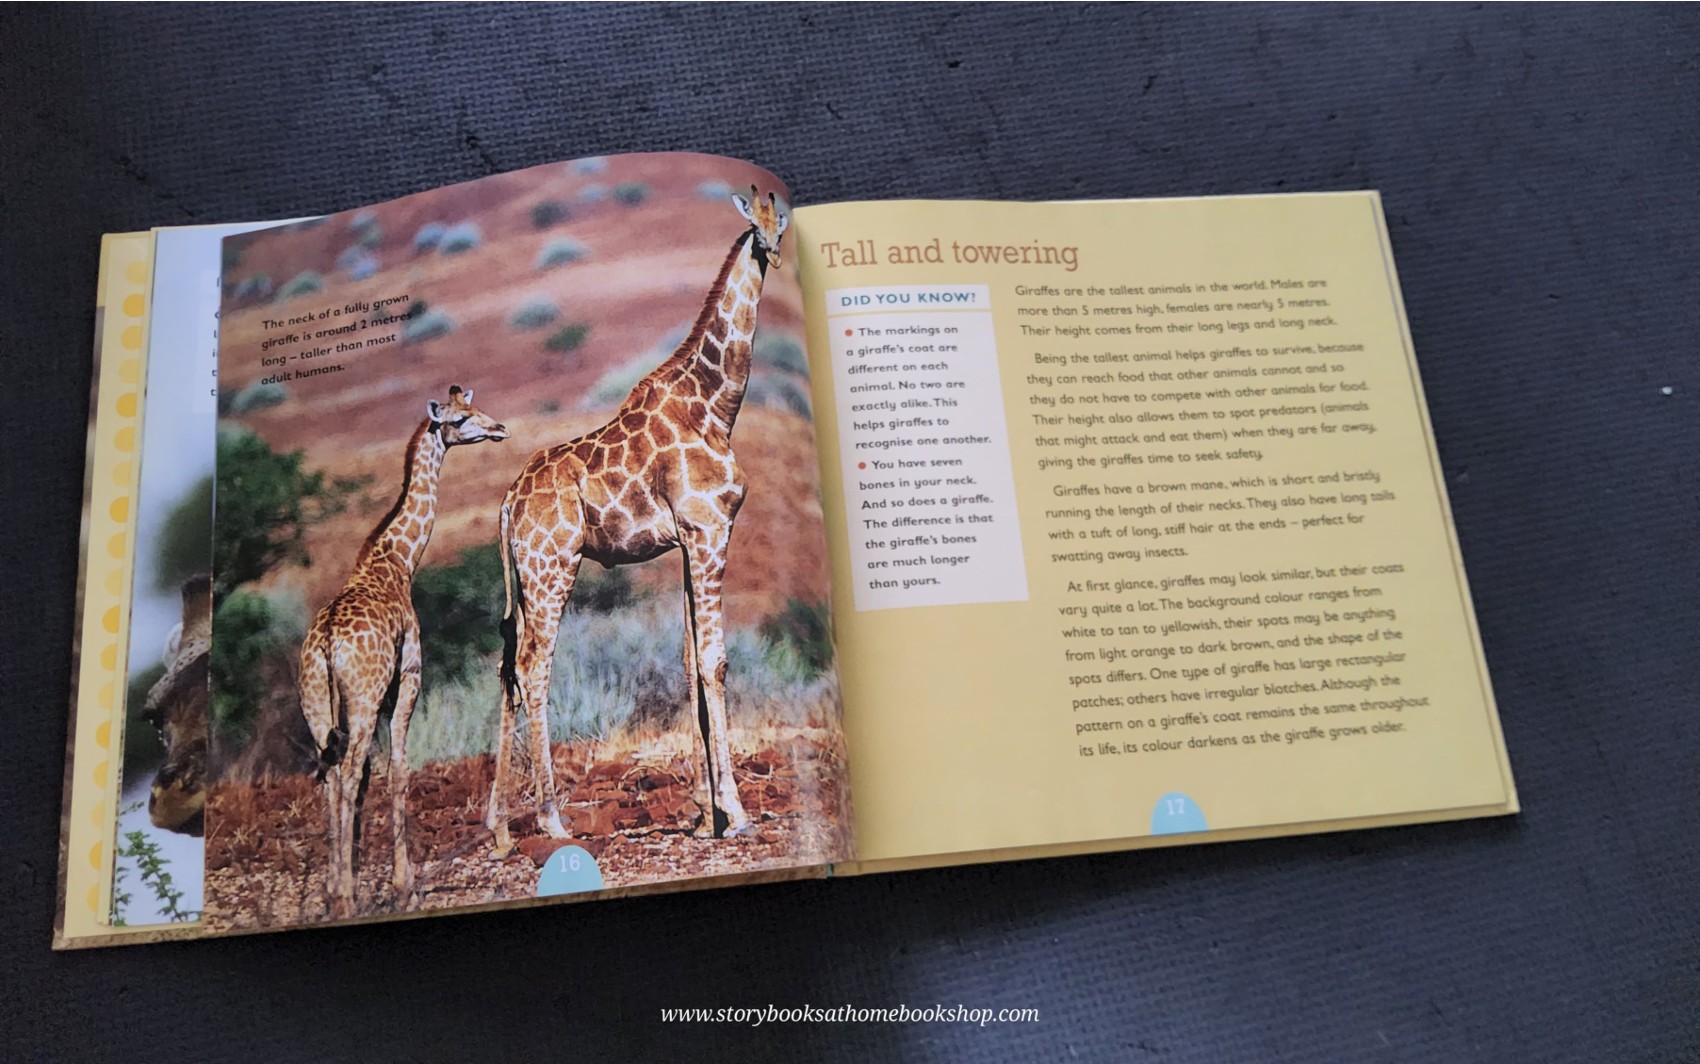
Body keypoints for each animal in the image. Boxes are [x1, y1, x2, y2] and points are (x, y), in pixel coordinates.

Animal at [299, 385, 507, 919]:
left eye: (475, 407)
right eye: (461, 418)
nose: (499, 428)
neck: (398, 560)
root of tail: (326, 644)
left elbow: (371, 777)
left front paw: (359, 878)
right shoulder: (408, 677)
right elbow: (398, 770)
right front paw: (403, 885)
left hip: (316, 704)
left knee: (332, 775)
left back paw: (334, 892)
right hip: (364, 697)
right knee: (349, 770)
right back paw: (346, 896)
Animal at [486, 187, 789, 853]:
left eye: (781, 222)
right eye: (756, 223)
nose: (775, 251)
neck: (715, 406)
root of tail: (509, 503)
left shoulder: (689, 541)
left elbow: (689, 663)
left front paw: (704, 814)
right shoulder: (710, 531)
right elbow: (715, 662)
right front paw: (736, 812)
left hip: (522, 580)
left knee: (506, 665)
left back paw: (498, 828)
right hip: (552, 567)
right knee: (534, 666)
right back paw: (551, 818)